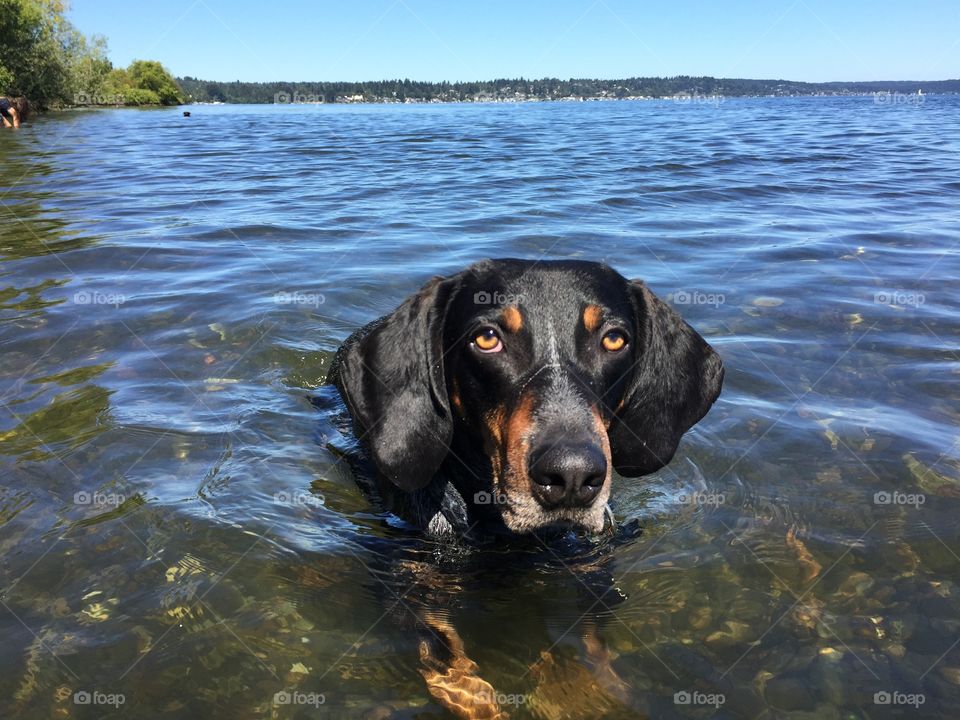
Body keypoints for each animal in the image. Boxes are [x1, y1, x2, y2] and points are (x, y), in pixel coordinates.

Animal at [322, 258, 720, 716]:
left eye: (614, 339)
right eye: (487, 338)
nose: (572, 475)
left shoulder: (594, 570)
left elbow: (591, 640)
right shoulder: (406, 584)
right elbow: (449, 666)